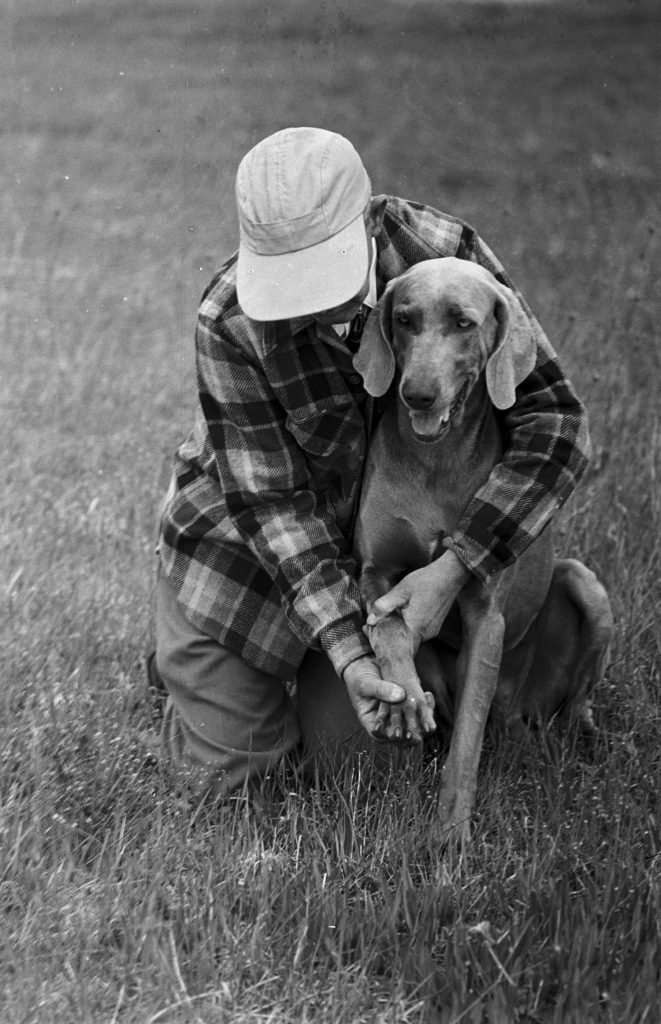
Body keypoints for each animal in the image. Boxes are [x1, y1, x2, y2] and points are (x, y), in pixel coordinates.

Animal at [354, 256, 613, 839]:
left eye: (463, 323)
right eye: (403, 319)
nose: (417, 395)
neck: (436, 458)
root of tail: (517, 713)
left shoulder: (484, 614)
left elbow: (468, 740)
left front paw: (451, 835)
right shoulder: (376, 575)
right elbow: (392, 635)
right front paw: (402, 702)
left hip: (584, 584)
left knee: (569, 703)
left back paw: (576, 738)